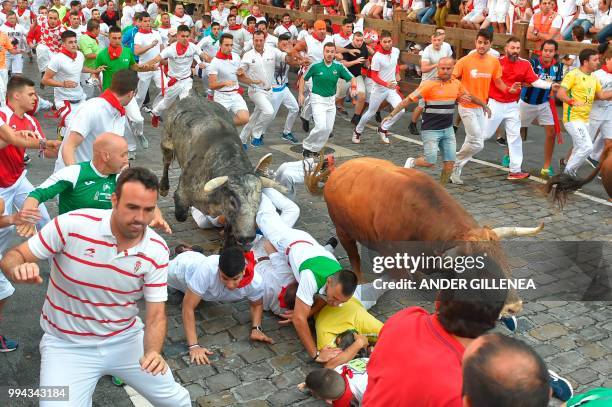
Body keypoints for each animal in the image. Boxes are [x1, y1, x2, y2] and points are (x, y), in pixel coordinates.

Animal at [322, 159, 544, 316]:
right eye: (481, 270)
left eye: (504, 260)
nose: (514, 307)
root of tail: (342, 169)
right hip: (343, 231)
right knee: (354, 256)